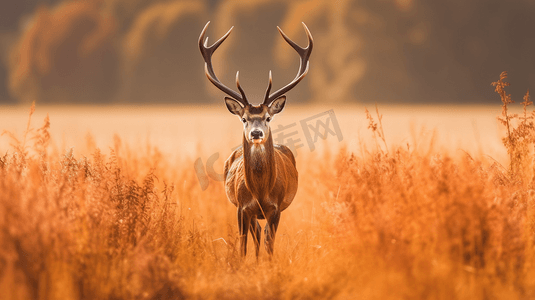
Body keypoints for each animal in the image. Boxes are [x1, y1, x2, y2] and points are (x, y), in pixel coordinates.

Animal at [199, 21, 312, 258]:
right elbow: (243, 248)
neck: (261, 192)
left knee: (262, 234)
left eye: (268, 117)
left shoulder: (275, 208)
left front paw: (268, 265)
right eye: (244, 119)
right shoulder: (242, 208)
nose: (256, 133)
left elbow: (271, 245)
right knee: (257, 234)